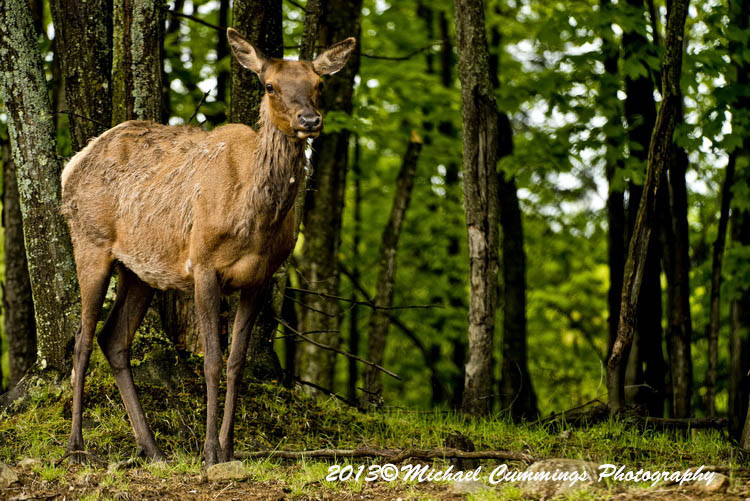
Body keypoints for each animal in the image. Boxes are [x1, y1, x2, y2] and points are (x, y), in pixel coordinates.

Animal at [60, 28, 356, 466]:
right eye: (270, 86)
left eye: (319, 84)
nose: (309, 121)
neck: (254, 222)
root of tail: (71, 166)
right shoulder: (202, 265)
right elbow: (212, 361)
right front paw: (210, 450)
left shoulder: (261, 277)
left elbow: (237, 362)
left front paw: (229, 447)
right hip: (90, 241)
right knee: (81, 339)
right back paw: (76, 445)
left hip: (139, 270)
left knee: (112, 339)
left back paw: (153, 448)